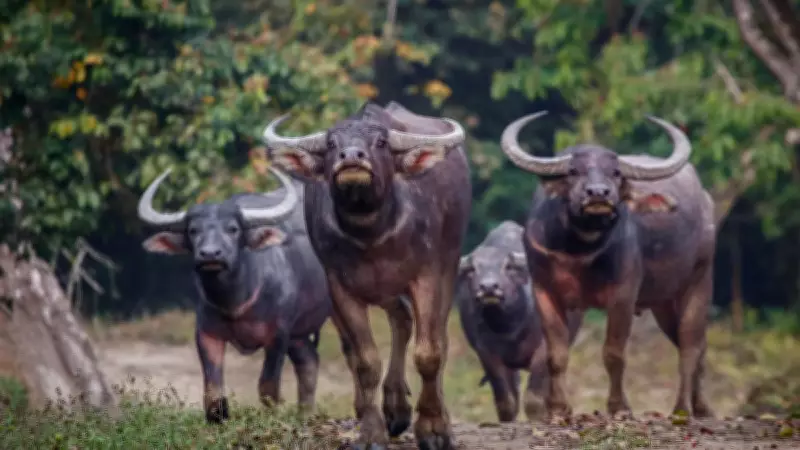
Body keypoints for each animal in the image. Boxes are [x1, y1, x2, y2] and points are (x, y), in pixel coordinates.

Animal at [137, 166, 338, 423]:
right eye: (193, 230)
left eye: (233, 229)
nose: (210, 254)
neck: (235, 300)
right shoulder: (207, 334)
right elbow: (212, 394)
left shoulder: (278, 334)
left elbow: (268, 388)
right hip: (300, 333)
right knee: (309, 361)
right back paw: (306, 415)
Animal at [262, 101, 471, 450]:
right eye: (331, 143)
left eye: (381, 143)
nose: (352, 156)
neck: (372, 232)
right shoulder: (339, 287)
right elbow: (365, 361)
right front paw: (372, 432)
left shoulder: (428, 275)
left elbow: (429, 353)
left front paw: (432, 429)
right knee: (400, 321)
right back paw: (395, 408)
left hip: (447, 266)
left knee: (436, 337)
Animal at [456, 220, 582, 422]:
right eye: (472, 269)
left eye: (508, 267)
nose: (489, 287)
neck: (510, 329)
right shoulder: (486, 351)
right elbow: (505, 398)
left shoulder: (545, 347)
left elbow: (534, 394)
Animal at [499, 112, 716, 421]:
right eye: (573, 171)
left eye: (615, 173)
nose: (598, 194)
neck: (579, 251)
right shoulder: (545, 292)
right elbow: (556, 354)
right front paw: (559, 409)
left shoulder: (623, 296)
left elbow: (613, 354)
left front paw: (619, 407)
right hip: (663, 302)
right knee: (694, 344)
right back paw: (702, 407)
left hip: (699, 278)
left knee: (690, 343)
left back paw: (682, 409)